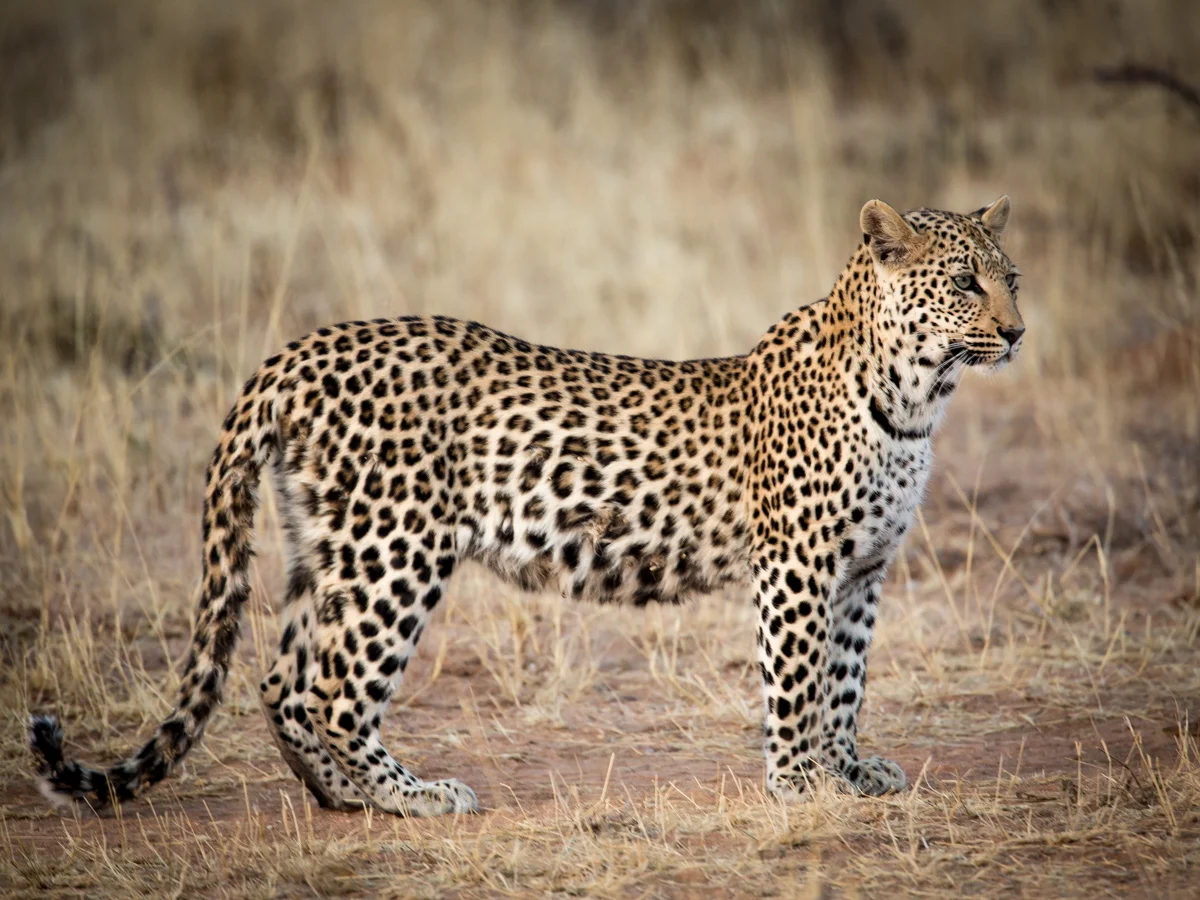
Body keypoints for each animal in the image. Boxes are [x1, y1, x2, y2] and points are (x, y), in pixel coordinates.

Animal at [30, 196, 1023, 817]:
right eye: (964, 283)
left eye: (1011, 276)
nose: (1018, 332)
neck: (913, 397)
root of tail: (301, 349)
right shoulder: (797, 568)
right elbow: (798, 682)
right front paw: (799, 786)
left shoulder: (863, 569)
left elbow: (846, 683)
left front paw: (849, 771)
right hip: (396, 548)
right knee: (334, 688)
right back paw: (413, 795)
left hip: (329, 545)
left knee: (283, 680)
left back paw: (343, 797)